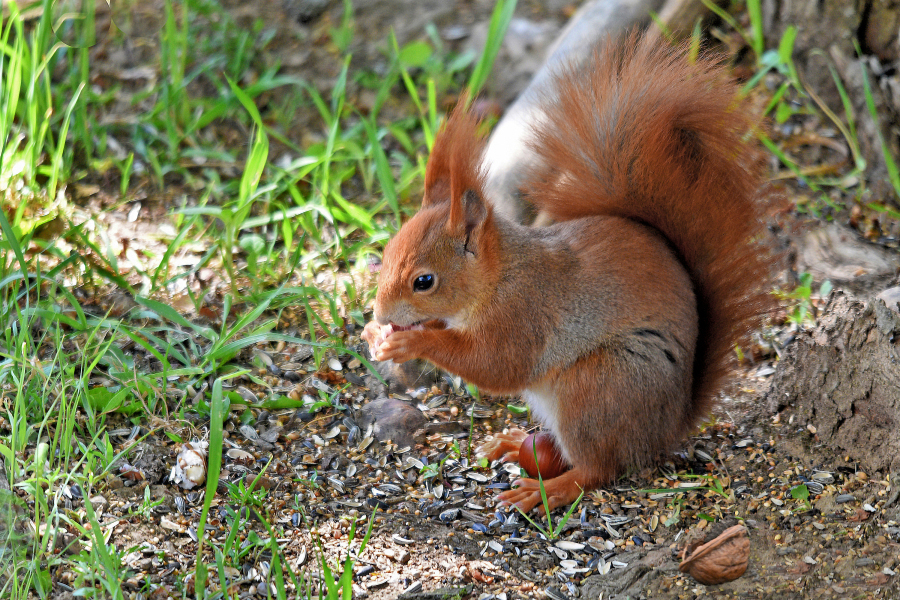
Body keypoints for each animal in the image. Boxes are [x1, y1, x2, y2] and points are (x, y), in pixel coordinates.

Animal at [362, 35, 776, 510]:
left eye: (424, 281)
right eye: (386, 251)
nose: (380, 314)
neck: (499, 277)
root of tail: (669, 425)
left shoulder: (524, 315)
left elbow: (495, 365)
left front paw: (411, 341)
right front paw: (375, 335)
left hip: (598, 387)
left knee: (599, 469)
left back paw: (545, 491)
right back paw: (511, 442)